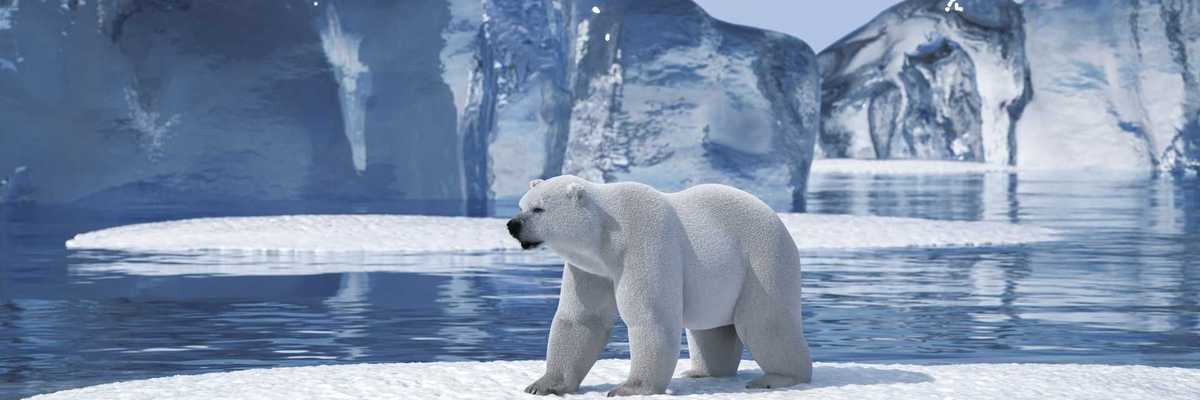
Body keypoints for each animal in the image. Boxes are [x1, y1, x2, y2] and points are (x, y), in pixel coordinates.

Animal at [506, 175, 812, 396]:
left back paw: (780, 377)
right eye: (522, 205)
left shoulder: (644, 242)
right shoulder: (590, 269)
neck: (607, 235)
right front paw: (542, 384)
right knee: (712, 329)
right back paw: (702, 371)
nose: (512, 224)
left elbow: (650, 315)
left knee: (764, 322)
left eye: (539, 208)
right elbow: (581, 319)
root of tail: (773, 215)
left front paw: (628, 388)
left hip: (761, 259)